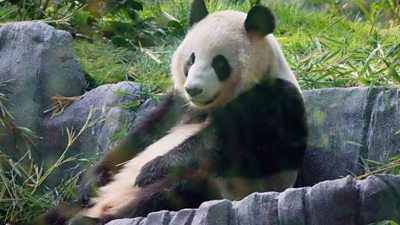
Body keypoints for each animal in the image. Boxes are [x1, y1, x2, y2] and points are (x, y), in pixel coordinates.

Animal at [30, 0, 306, 224]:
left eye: (219, 63)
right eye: (191, 59)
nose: (194, 89)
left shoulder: (275, 100)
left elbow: (237, 144)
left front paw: (153, 167)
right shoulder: (177, 105)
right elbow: (140, 138)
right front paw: (93, 180)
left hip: (217, 188)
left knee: (173, 191)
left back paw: (93, 219)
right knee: (56, 213)